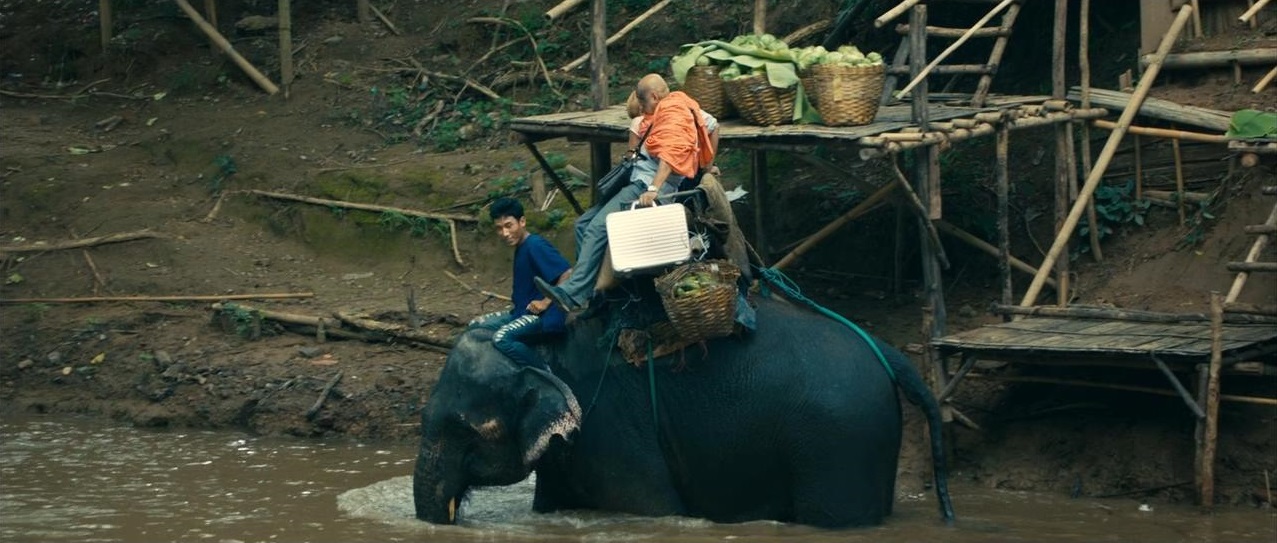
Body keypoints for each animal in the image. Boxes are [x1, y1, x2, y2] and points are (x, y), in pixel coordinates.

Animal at [412, 295, 955, 528]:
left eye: (462, 429)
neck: (544, 348)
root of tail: (889, 352)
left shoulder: (612, 425)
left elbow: (651, 509)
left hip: (839, 442)